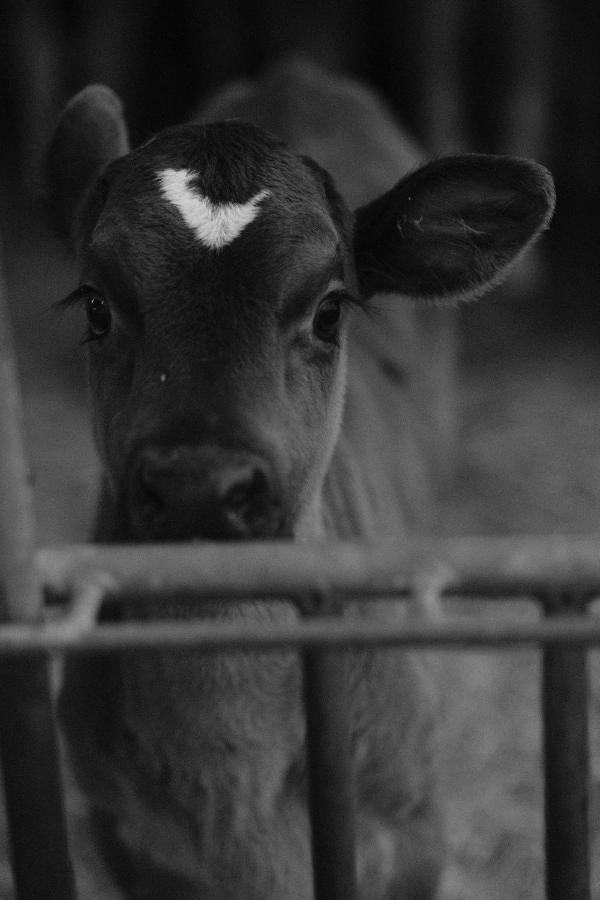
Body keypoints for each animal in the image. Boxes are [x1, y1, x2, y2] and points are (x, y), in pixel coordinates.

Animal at [44, 59, 556, 896]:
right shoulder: (123, 839)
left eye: (329, 310)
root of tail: (296, 70)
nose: (199, 482)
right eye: (95, 305)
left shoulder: (414, 830)